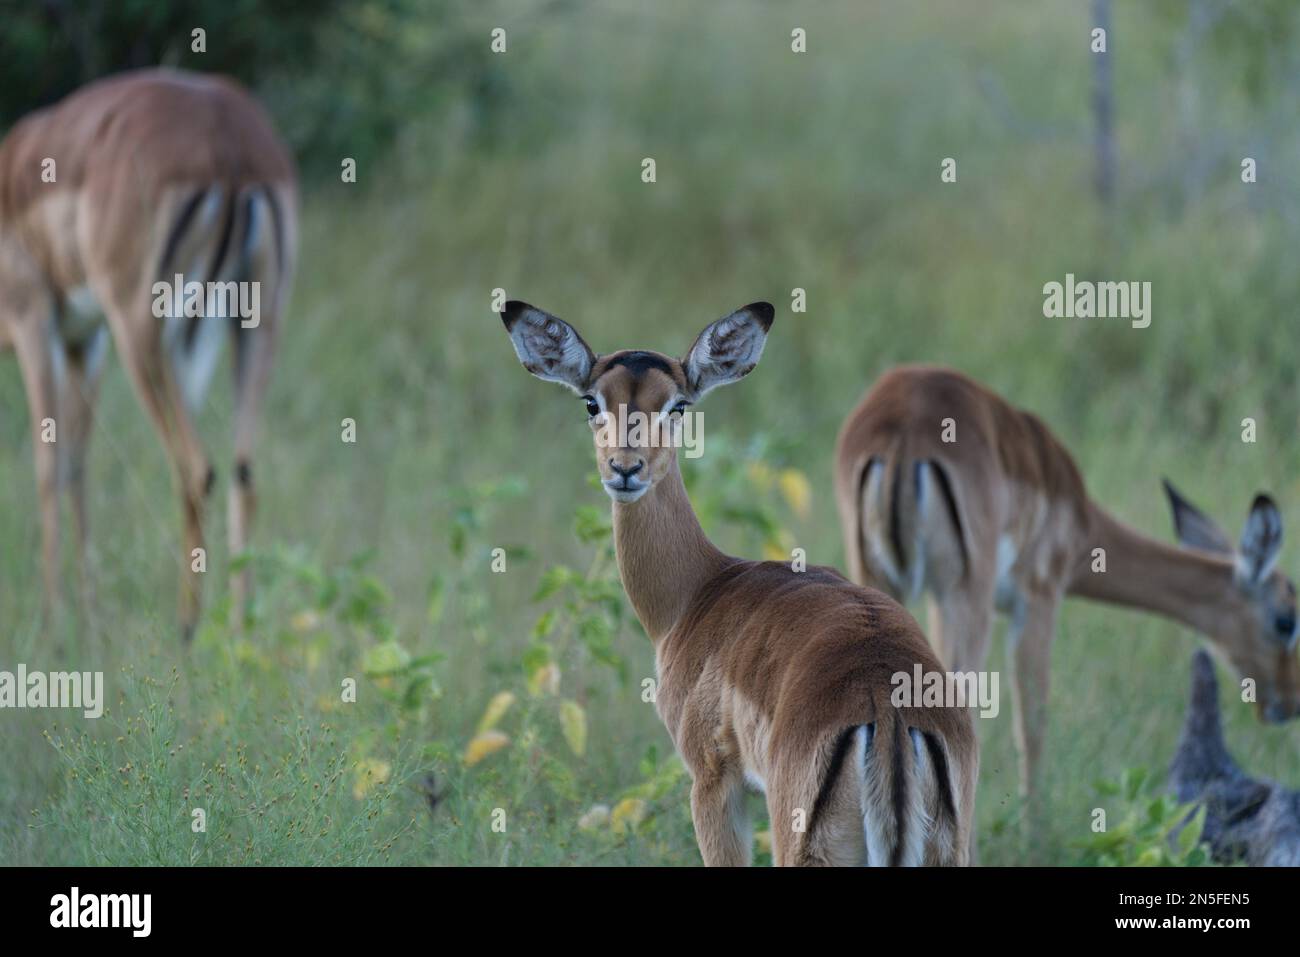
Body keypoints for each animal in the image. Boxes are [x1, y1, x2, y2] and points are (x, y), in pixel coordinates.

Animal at [0, 68, 297, 640]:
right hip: (254, 328)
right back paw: (241, 632)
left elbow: (47, 465)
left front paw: (53, 626)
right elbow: (76, 463)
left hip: (143, 333)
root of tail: (232, 136)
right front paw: (89, 617)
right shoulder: (84, 340)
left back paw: (186, 630)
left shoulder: (34, 321)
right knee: (245, 473)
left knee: (196, 468)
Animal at [502, 301, 978, 866]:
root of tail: (889, 709)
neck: (699, 591)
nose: (625, 468)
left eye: (678, 407)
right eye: (592, 401)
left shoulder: (712, 783)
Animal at [834, 365, 1299, 807]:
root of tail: (903, 430)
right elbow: (1033, 727)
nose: (1288, 703)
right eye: (1286, 619)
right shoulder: (1039, 597)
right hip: (965, 595)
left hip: (878, 584)